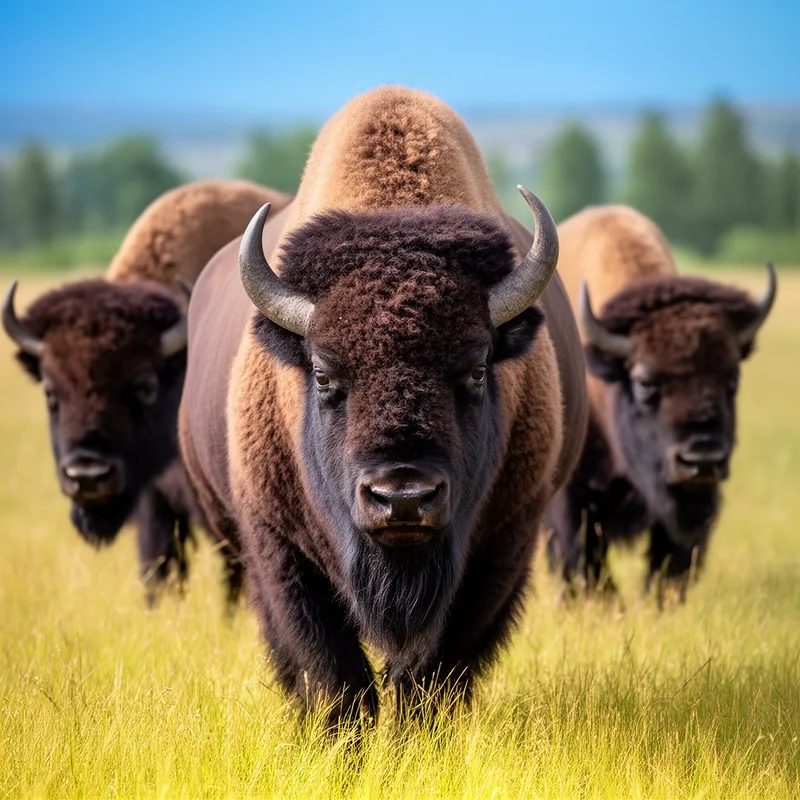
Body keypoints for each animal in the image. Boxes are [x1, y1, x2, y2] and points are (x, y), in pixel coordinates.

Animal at [179, 87, 588, 726]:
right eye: (323, 375)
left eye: (477, 370)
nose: (403, 499)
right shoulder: (281, 551)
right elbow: (333, 673)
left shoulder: (502, 546)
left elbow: (434, 672)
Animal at [547, 205, 776, 603]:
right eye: (644, 383)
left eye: (732, 379)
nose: (702, 460)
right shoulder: (572, 499)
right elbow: (584, 557)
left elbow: (669, 560)